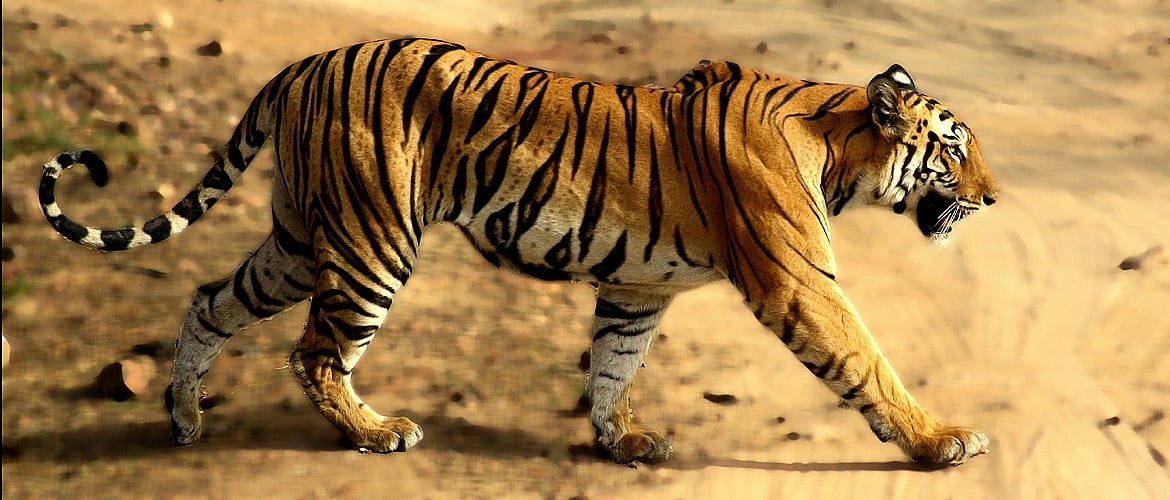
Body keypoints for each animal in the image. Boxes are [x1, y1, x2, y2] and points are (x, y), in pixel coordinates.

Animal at [39, 37, 999, 466]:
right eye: (955, 150)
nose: (993, 198)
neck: (842, 149)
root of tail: (307, 61)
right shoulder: (800, 280)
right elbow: (867, 361)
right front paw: (941, 439)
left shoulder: (639, 288)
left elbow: (613, 363)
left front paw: (622, 441)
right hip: (371, 240)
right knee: (316, 352)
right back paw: (377, 433)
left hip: (300, 239)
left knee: (210, 298)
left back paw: (184, 419)